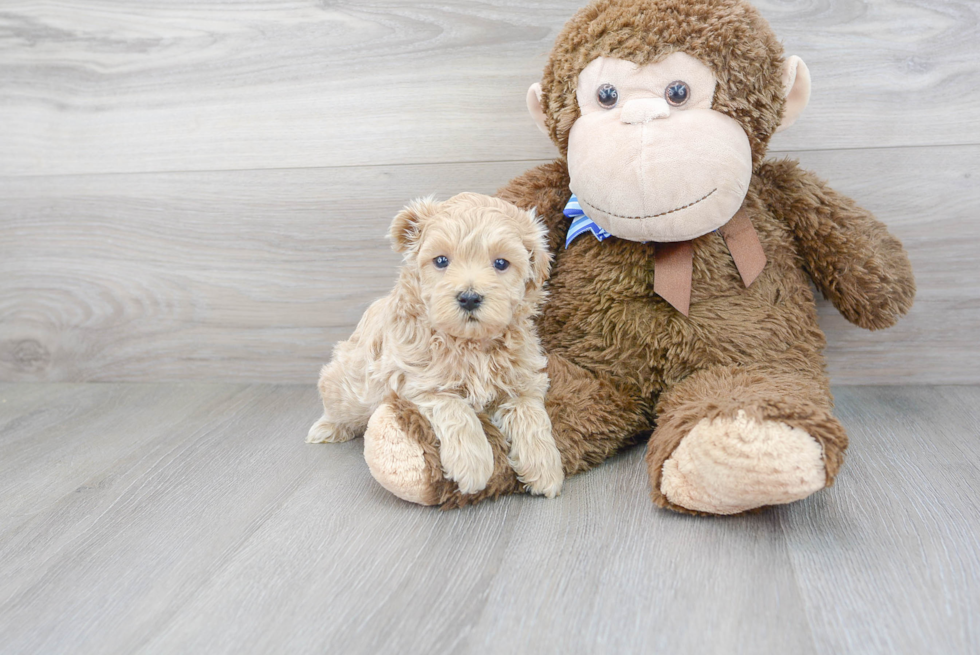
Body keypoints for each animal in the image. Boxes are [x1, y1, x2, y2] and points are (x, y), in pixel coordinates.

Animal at [306, 192, 568, 500]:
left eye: (501, 264)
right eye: (441, 261)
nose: (469, 297)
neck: (470, 343)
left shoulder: (523, 380)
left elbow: (532, 415)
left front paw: (546, 469)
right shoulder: (415, 380)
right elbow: (456, 409)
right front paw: (473, 466)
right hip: (345, 383)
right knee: (339, 405)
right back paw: (326, 428)